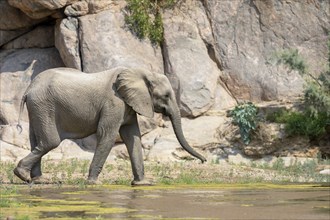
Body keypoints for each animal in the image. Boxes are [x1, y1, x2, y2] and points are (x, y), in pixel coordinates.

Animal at [14, 64, 206, 186]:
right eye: (166, 95)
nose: (203, 161)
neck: (139, 71)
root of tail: (29, 88)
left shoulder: (128, 104)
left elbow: (132, 137)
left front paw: (143, 184)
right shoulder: (114, 102)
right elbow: (108, 134)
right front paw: (92, 183)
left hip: (38, 108)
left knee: (37, 141)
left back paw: (38, 180)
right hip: (44, 106)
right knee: (50, 141)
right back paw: (22, 175)